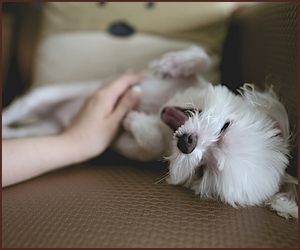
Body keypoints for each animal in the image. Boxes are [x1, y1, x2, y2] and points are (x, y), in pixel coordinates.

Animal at [2, 45, 298, 221]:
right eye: (226, 128)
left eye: (202, 170)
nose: (188, 142)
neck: (165, 107)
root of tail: (57, 118)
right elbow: (202, 59)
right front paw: (175, 64)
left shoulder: (139, 148)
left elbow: (148, 141)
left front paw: (135, 120)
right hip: (43, 97)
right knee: (16, 110)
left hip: (45, 129)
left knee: (23, 131)